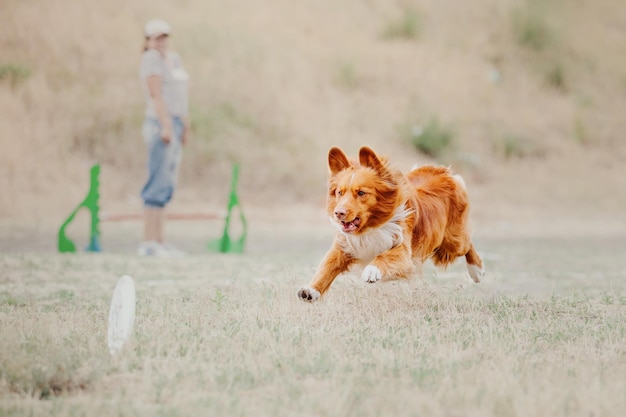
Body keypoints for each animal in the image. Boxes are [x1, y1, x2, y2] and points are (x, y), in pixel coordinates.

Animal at [298, 146, 482, 302]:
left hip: (452, 243)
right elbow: (326, 267)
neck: (370, 228)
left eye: (361, 193)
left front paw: (372, 270)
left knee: (468, 243)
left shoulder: (404, 252)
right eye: (339, 193)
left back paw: (477, 271)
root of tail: (441, 170)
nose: (339, 213)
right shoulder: (344, 247)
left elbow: (384, 256)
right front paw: (311, 290)